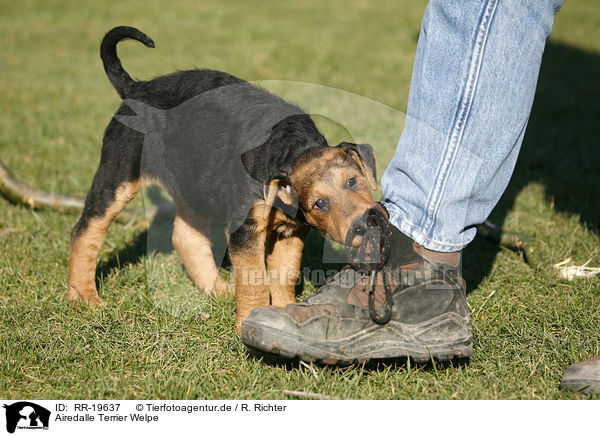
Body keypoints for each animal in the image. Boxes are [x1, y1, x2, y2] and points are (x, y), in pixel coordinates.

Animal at [69, 25, 376, 328]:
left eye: (353, 181)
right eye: (319, 203)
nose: (363, 226)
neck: (291, 149)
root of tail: (136, 88)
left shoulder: (291, 232)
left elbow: (284, 274)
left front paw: (284, 314)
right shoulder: (245, 231)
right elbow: (254, 281)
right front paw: (250, 321)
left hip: (193, 183)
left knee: (186, 237)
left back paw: (218, 290)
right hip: (119, 171)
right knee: (85, 230)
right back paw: (83, 298)